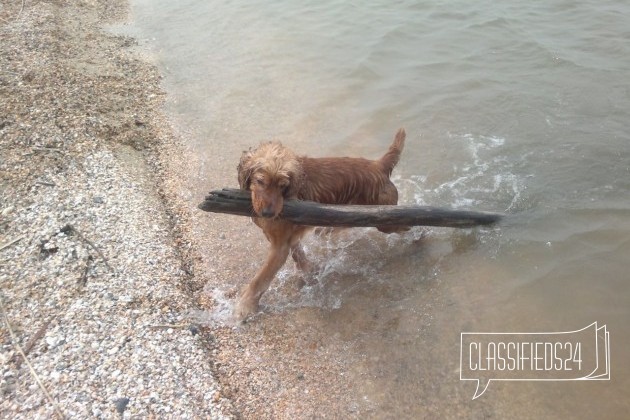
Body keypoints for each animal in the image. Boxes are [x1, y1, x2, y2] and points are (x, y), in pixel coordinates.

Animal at [235, 127, 408, 318]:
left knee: (407, 224)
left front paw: (245, 306)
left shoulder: (279, 247)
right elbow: (298, 255)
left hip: (385, 221)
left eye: (283, 185)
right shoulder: (287, 238)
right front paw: (308, 272)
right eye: (260, 181)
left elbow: (260, 278)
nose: (268, 213)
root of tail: (379, 165)